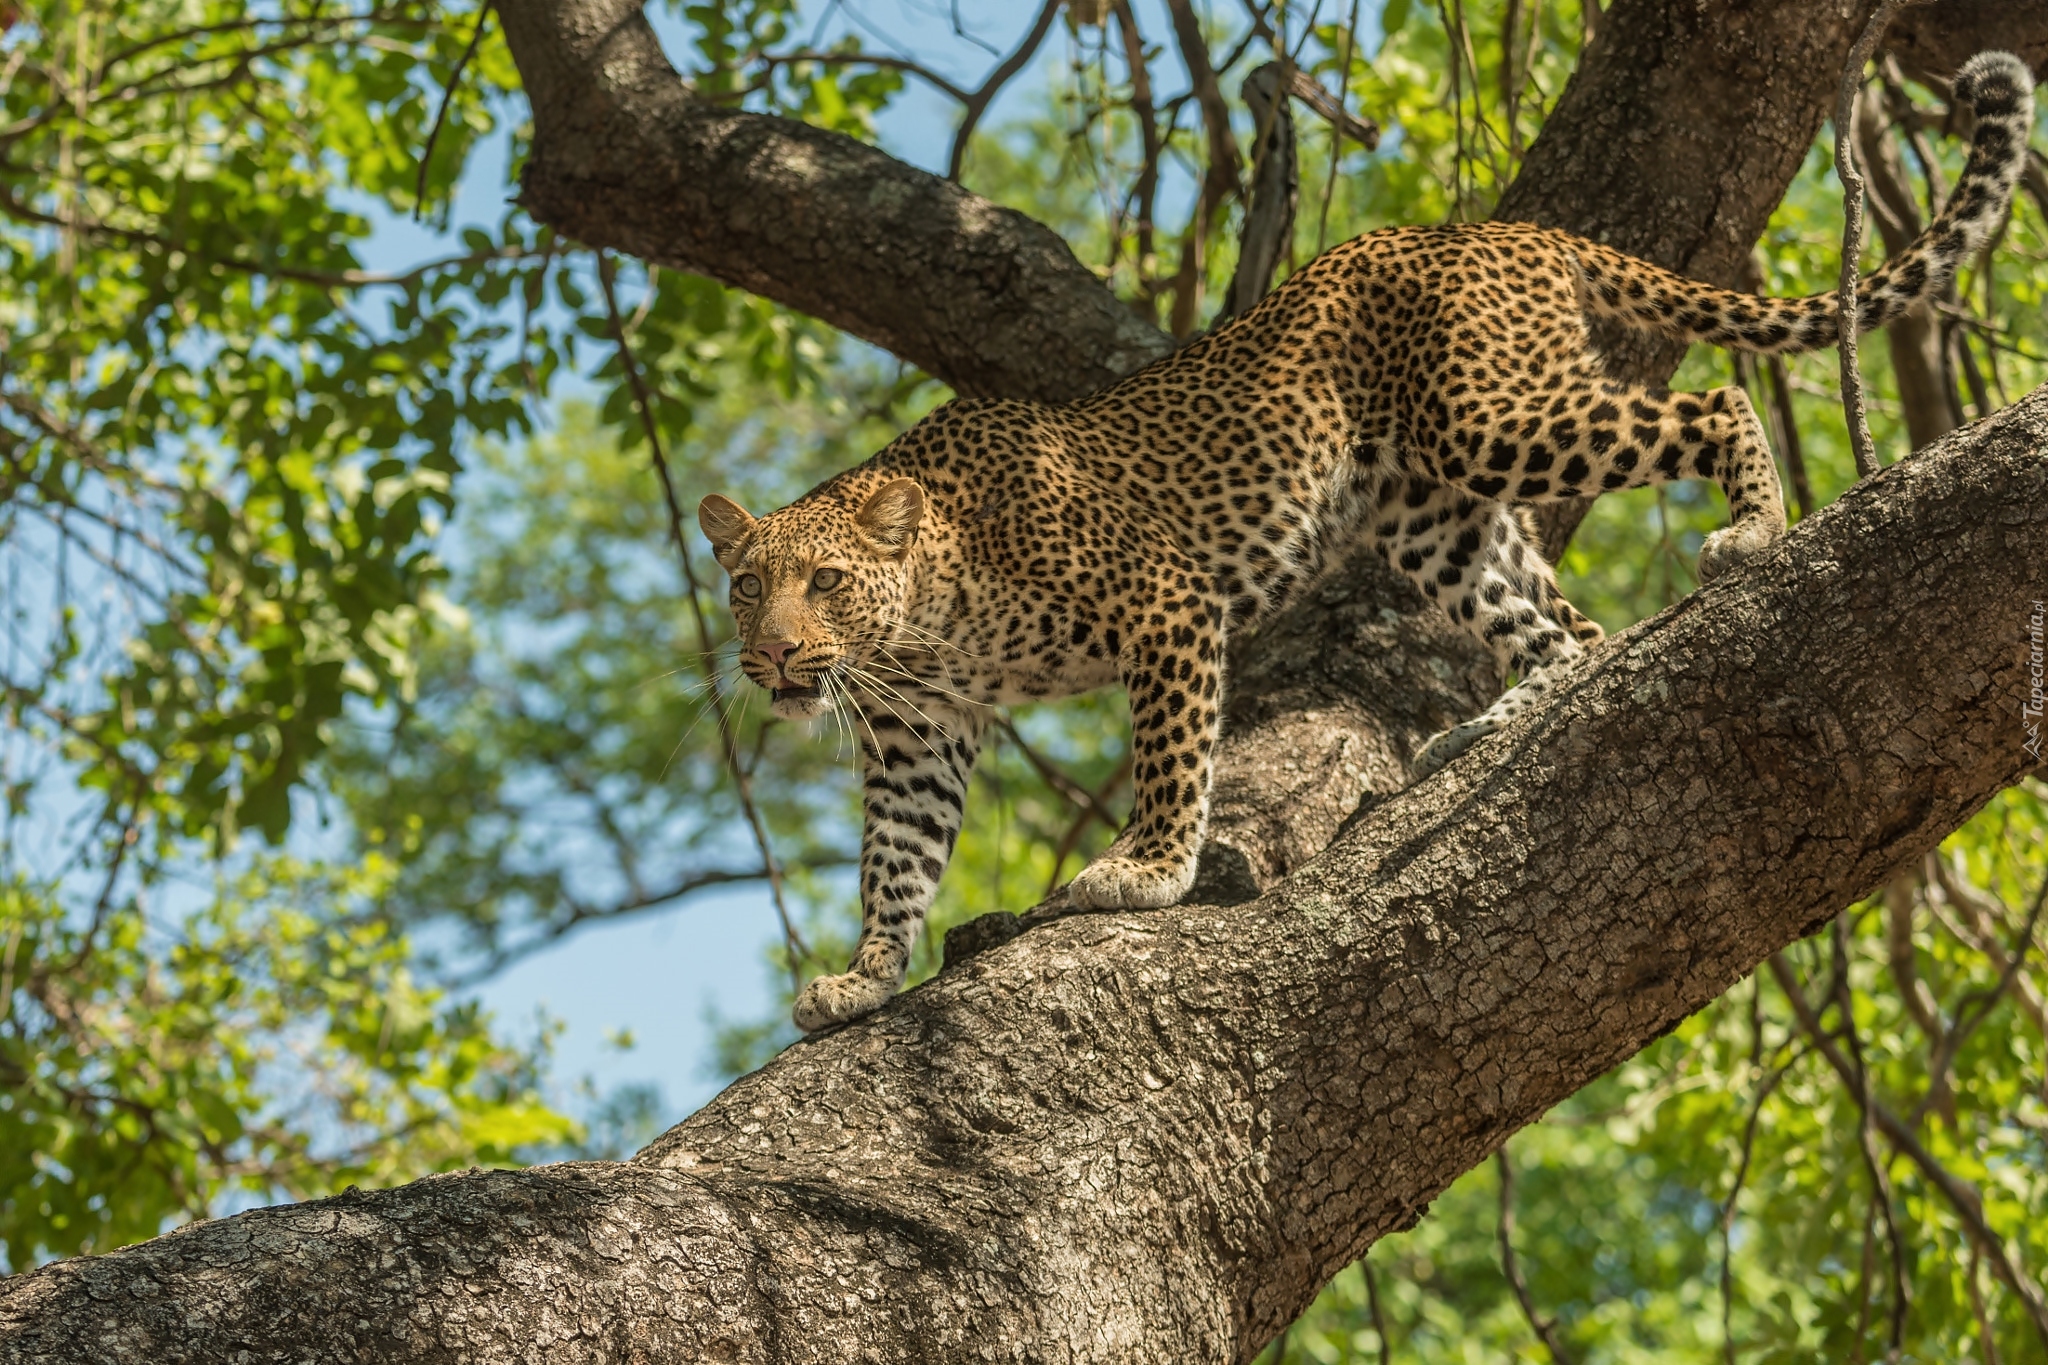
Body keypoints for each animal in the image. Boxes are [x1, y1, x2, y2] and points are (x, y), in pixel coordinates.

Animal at [700, 53, 2031, 1035]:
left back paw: (1751, 527)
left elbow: (1169, 766)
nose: (773, 661)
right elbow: (894, 861)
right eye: (748, 589)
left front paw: (1143, 874)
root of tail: (1507, 231)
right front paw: (861, 978)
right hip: (1432, 511)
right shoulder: (916, 735)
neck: (922, 625)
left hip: (1495, 422)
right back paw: (1482, 727)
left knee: (1709, 406)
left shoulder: (1166, 610)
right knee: (1567, 628)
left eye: (826, 581)